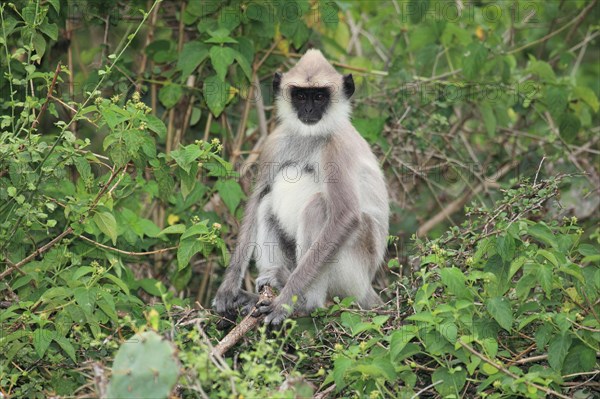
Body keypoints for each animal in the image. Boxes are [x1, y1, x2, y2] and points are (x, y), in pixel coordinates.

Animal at [211, 48, 390, 326]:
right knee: (266, 203)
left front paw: (283, 303)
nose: (307, 108)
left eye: (319, 96)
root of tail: (368, 287)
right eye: (300, 95)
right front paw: (228, 289)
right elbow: (257, 198)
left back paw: (303, 301)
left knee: (319, 207)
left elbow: (345, 217)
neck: (311, 137)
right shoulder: (275, 142)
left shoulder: (337, 149)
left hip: (354, 272)